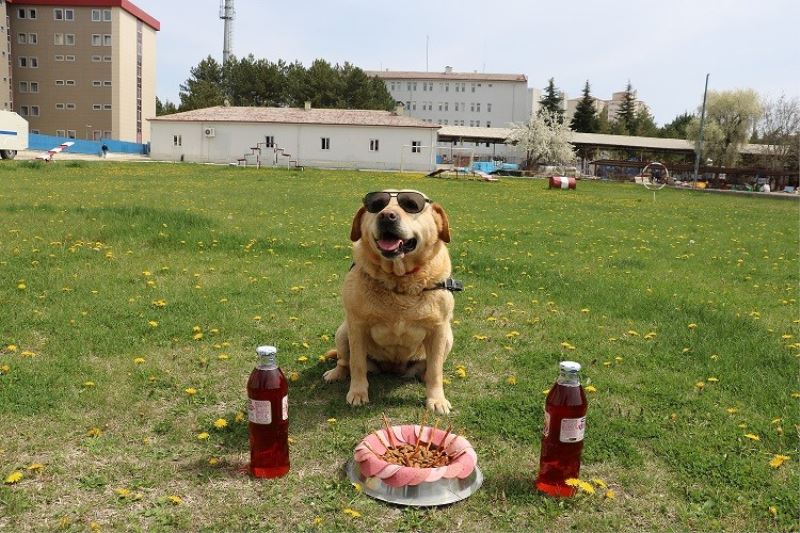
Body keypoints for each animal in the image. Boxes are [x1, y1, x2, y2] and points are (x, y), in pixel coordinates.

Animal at [322, 189, 460, 414]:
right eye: (377, 204)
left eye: (411, 205)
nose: (387, 216)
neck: (399, 280)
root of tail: (393, 368)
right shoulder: (357, 326)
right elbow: (357, 363)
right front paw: (358, 393)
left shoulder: (439, 329)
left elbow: (436, 370)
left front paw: (436, 399)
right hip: (343, 332)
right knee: (345, 361)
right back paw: (336, 373)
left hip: (448, 336)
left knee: (429, 368)